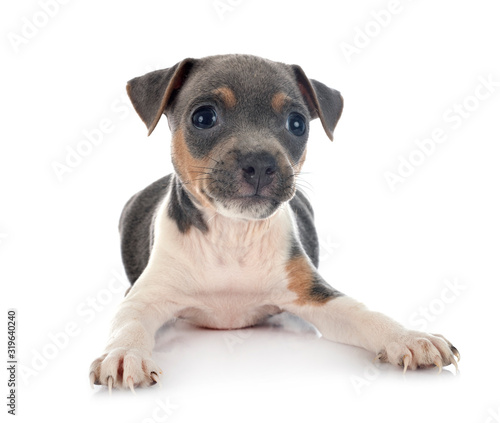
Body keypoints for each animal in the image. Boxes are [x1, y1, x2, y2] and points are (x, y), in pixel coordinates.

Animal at [89, 54, 458, 392]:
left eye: (297, 124)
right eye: (204, 117)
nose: (260, 163)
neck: (233, 234)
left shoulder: (316, 296)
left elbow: (364, 313)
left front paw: (408, 337)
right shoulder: (143, 297)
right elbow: (128, 324)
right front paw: (123, 354)